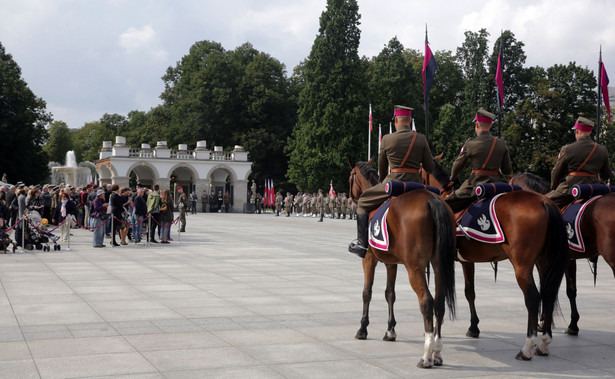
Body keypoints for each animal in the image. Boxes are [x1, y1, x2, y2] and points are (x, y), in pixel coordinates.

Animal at [348, 160, 454, 368]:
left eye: (350, 178)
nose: (351, 198)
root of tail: (432, 200)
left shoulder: (369, 259)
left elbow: (367, 292)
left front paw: (362, 329)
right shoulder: (392, 263)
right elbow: (390, 293)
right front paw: (390, 330)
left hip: (415, 267)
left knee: (426, 301)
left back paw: (426, 355)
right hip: (438, 265)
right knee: (439, 302)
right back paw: (437, 352)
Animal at [426, 159, 572, 360]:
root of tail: (543, 201)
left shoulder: (452, 260)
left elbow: (459, 294)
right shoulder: (467, 261)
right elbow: (470, 292)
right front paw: (474, 327)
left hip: (522, 265)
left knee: (533, 297)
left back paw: (527, 347)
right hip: (543, 261)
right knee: (548, 295)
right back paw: (544, 343)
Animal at [510, 172, 615, 336]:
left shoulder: (544, 260)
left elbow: (546, 286)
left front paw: (543, 321)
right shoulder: (570, 259)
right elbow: (571, 290)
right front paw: (573, 324)